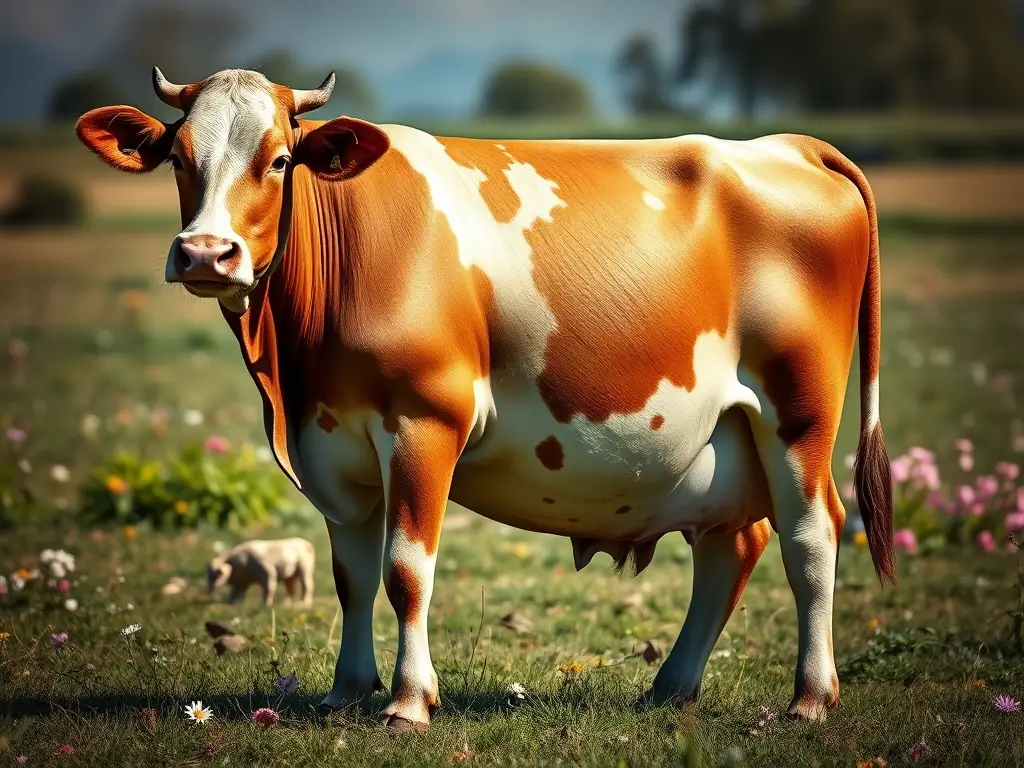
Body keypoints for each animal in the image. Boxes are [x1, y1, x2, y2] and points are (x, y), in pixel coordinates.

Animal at [75, 67, 894, 732]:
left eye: (278, 159)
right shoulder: (332, 445)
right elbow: (351, 576)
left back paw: (810, 697)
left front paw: (408, 702)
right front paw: (346, 691)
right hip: (722, 439)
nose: (205, 254)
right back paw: (671, 687)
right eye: (179, 159)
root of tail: (790, 146)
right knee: (734, 546)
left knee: (811, 534)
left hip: (798, 411)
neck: (292, 367)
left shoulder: (424, 420)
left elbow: (406, 568)